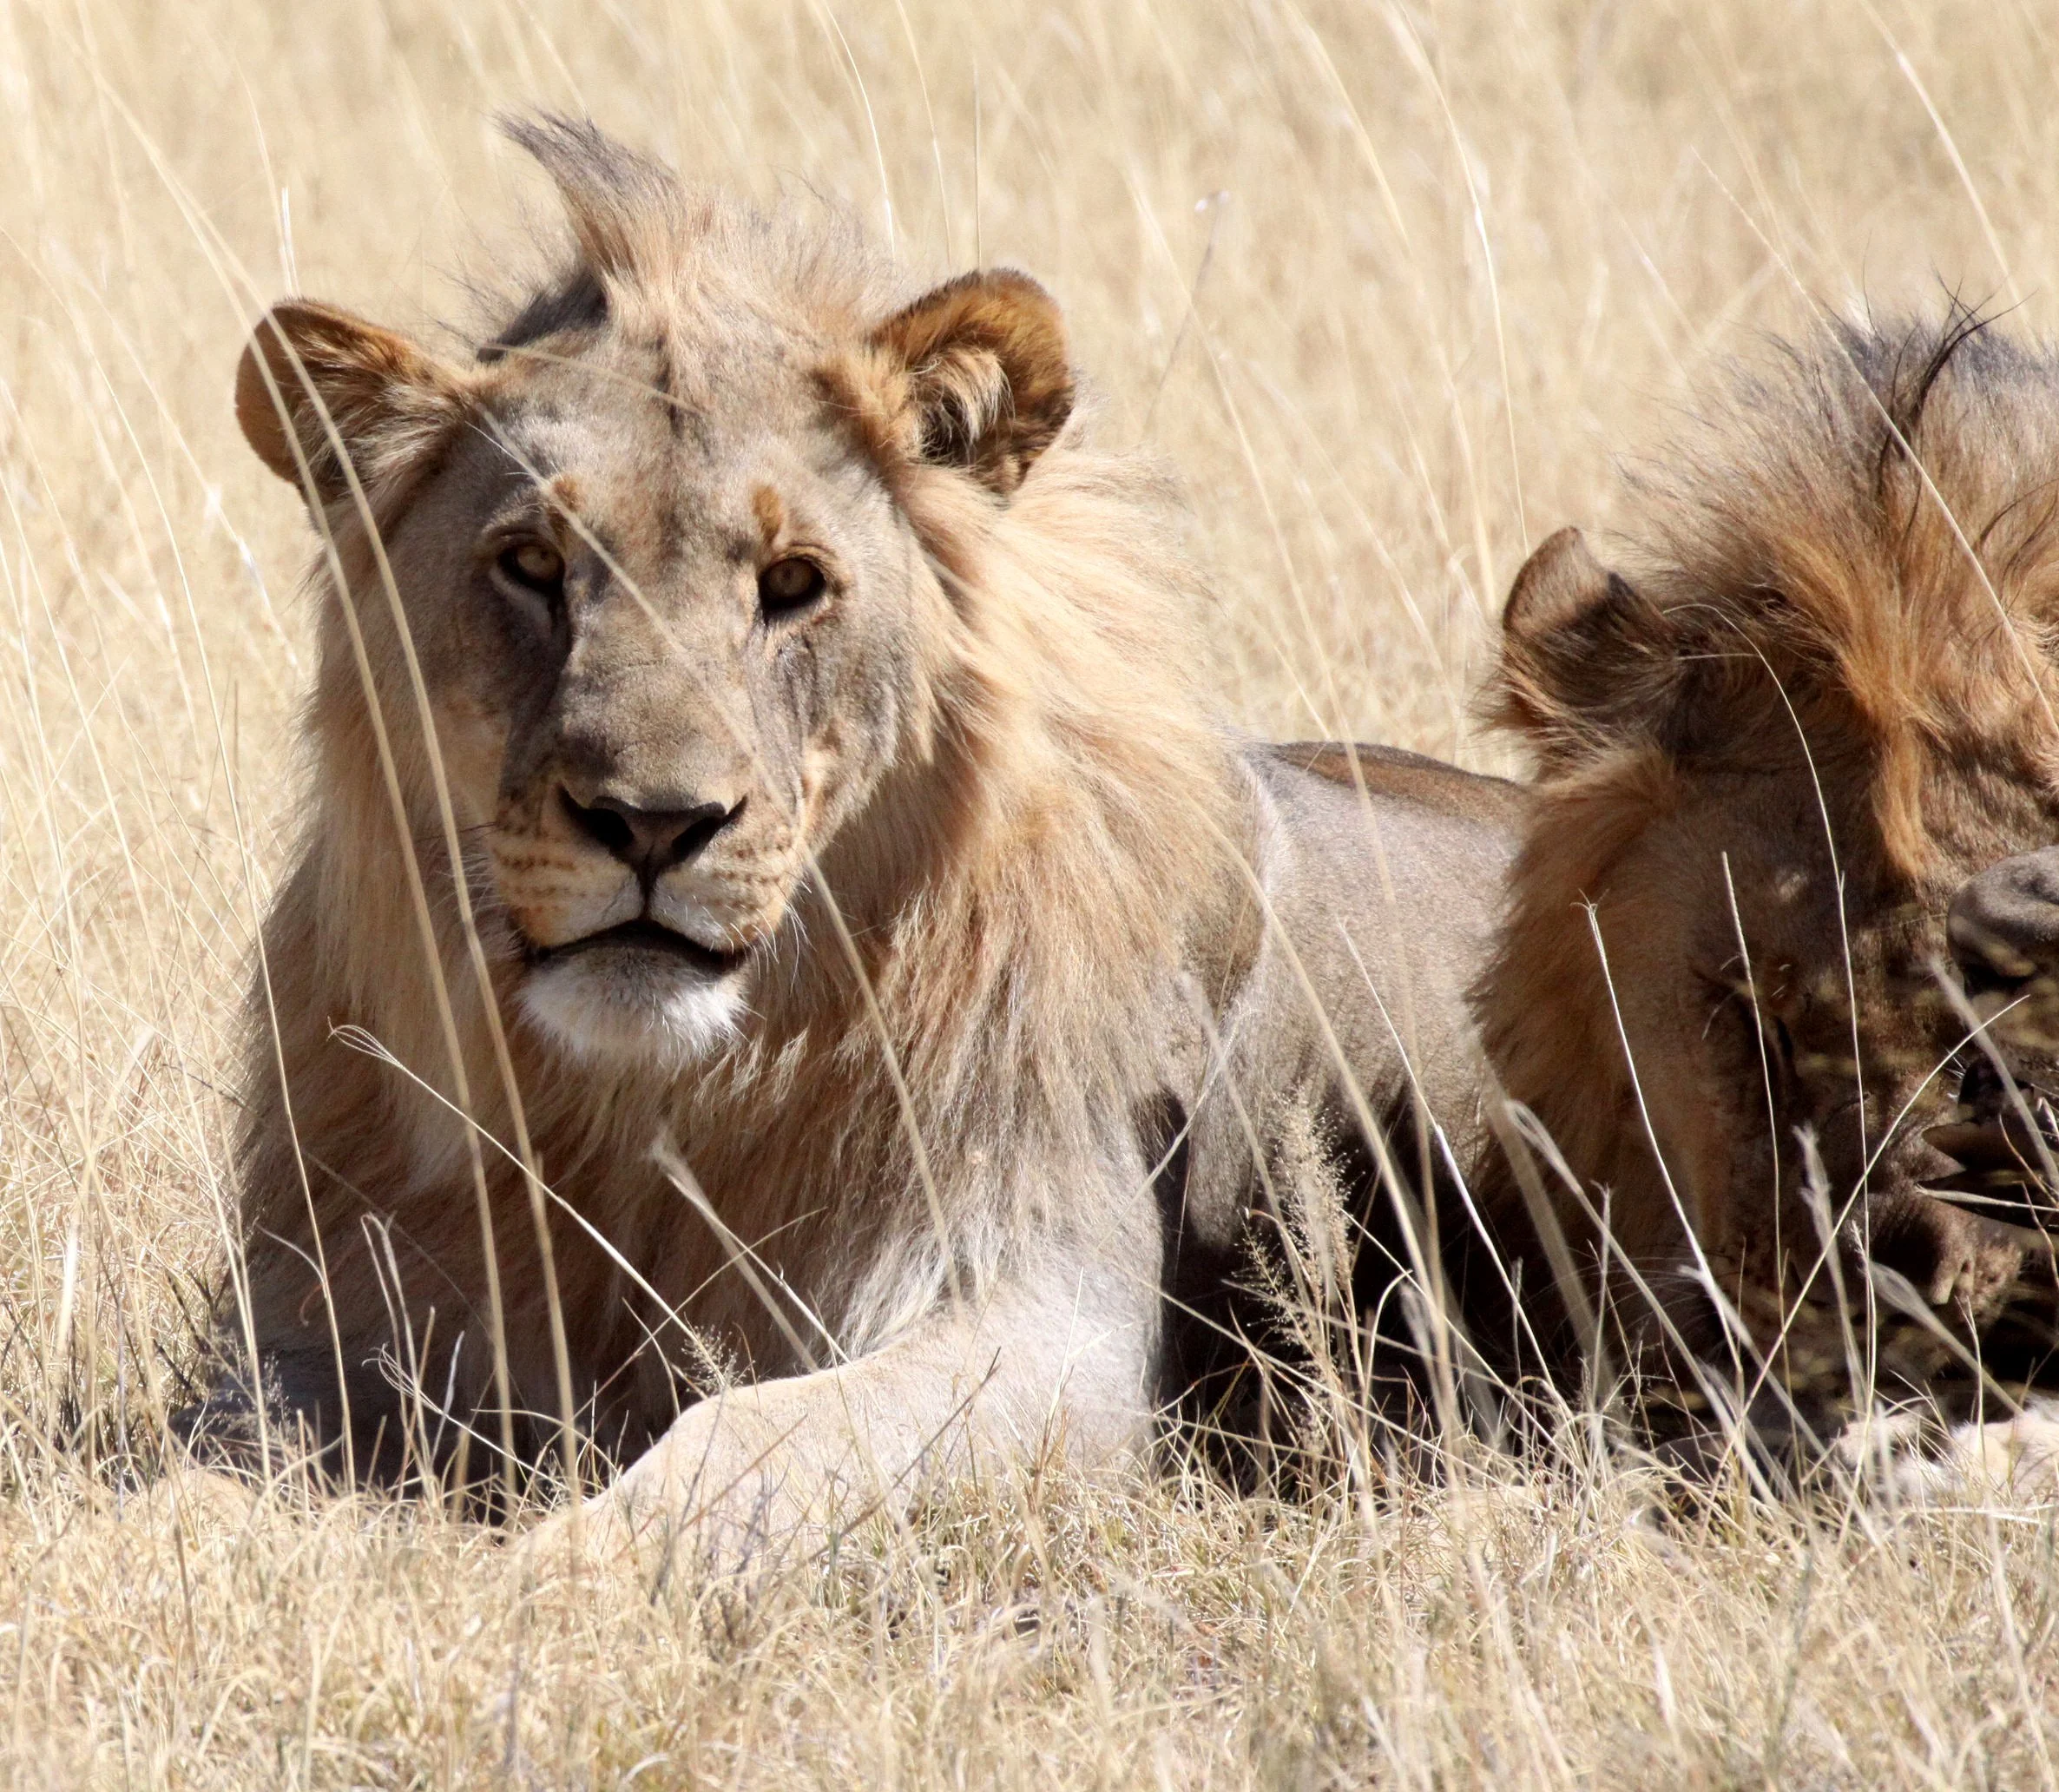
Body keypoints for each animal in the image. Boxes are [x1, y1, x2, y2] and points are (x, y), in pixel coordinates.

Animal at [184, 117, 1522, 1557]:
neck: (645, 1110)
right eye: (534, 565)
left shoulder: (1053, 1317)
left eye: (792, 586)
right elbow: (202, 1460)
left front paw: (557, 1568)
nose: (651, 824)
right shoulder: (336, 1312)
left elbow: (753, 1431)